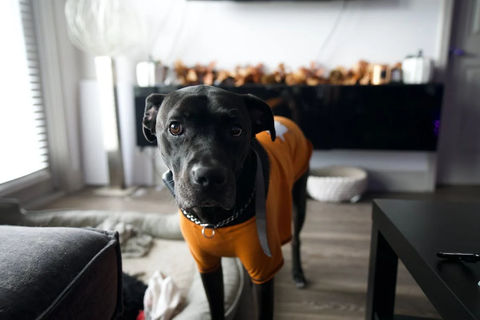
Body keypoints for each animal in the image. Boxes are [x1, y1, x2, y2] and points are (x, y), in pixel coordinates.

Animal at [142, 85, 312, 320]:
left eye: (236, 130)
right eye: (175, 127)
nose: (209, 177)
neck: (215, 220)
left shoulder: (264, 270)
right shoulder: (207, 266)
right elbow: (215, 308)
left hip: (298, 198)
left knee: (296, 239)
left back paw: (298, 273)